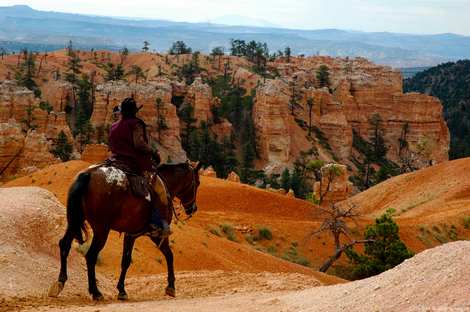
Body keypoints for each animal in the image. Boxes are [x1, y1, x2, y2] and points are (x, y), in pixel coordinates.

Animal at [48, 160, 202, 302]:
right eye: (198, 183)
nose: (193, 208)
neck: (166, 185)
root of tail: (87, 175)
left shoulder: (130, 234)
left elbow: (126, 261)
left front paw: (121, 290)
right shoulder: (157, 235)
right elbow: (169, 255)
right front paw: (171, 287)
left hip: (74, 221)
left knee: (64, 245)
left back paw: (60, 283)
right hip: (101, 229)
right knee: (91, 255)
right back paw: (95, 292)